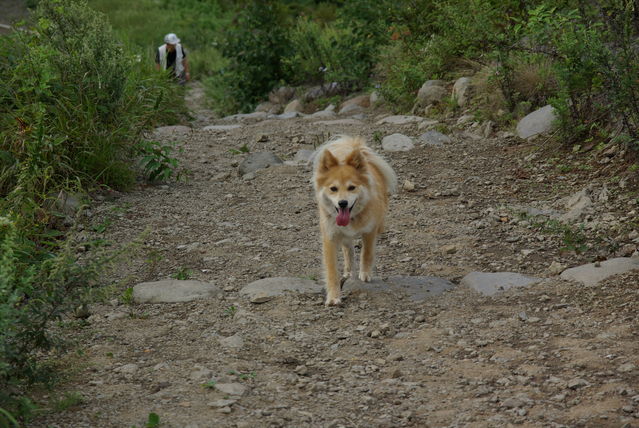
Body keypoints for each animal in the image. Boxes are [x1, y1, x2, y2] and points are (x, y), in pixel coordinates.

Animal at [312, 135, 398, 306]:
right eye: (333, 189)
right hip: (343, 236)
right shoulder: (330, 237)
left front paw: (365, 273)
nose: (342, 203)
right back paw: (348, 270)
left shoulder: (370, 231)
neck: (352, 218)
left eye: (352, 187)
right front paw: (333, 297)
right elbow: (331, 270)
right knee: (348, 249)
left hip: (379, 223)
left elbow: (367, 253)